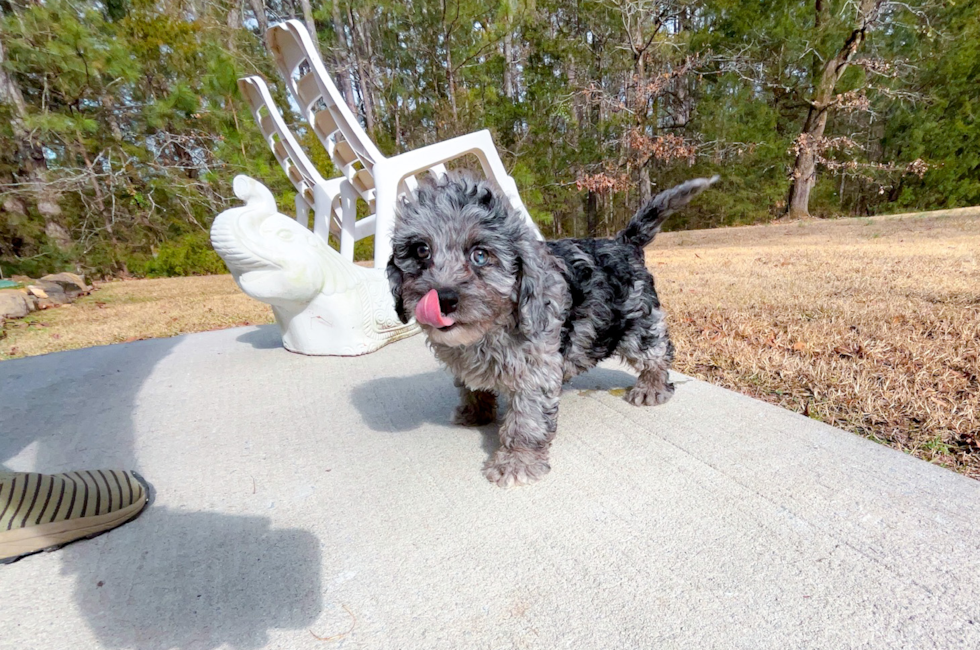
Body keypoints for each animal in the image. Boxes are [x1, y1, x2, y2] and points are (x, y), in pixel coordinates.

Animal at [386, 172, 716, 486]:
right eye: (421, 250)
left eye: (480, 255)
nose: (443, 299)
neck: (489, 329)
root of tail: (624, 242)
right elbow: (470, 386)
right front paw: (475, 411)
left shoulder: (536, 371)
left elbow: (526, 421)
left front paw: (516, 462)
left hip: (637, 324)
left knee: (657, 351)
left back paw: (652, 388)